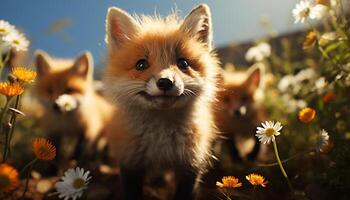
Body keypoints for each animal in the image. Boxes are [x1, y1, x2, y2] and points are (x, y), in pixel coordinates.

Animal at [102, 3, 220, 200]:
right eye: (141, 65)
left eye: (183, 63)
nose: (165, 82)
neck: (161, 142)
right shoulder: (130, 163)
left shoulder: (190, 167)